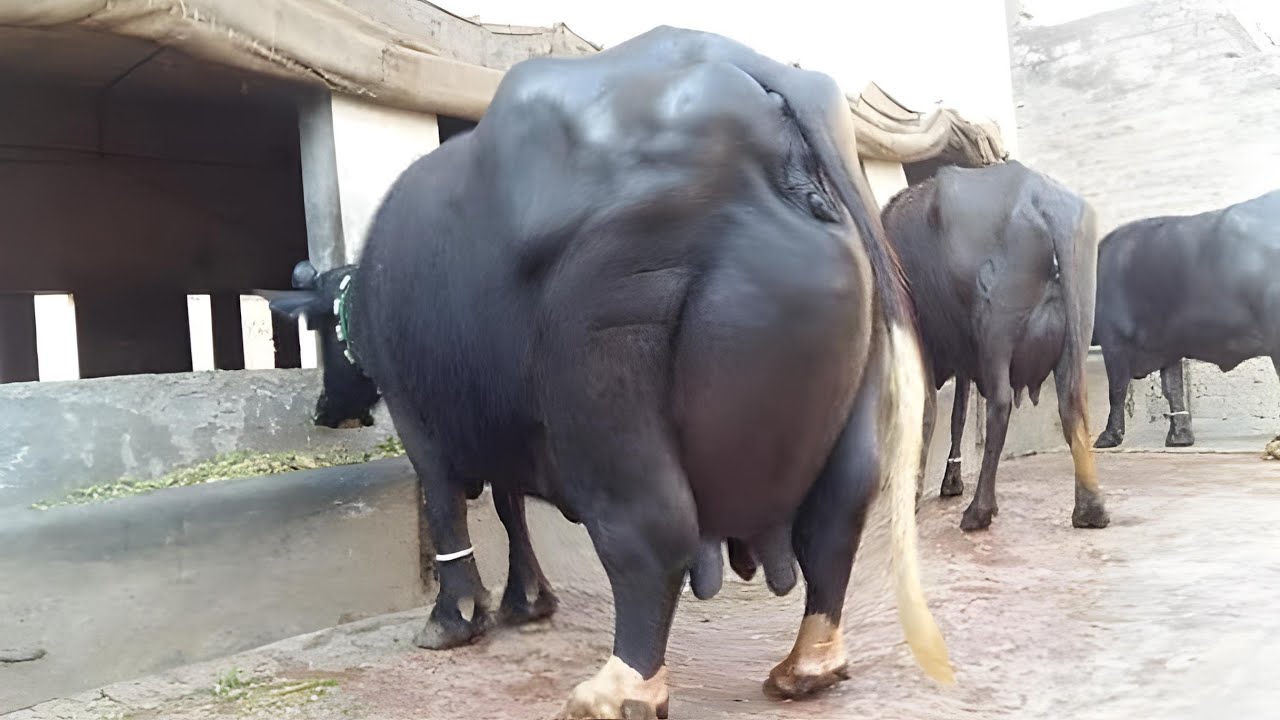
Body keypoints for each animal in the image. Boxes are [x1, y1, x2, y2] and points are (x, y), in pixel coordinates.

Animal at [262, 26, 954, 719]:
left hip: (604, 376)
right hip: (861, 381)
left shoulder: (419, 422)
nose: (325, 410)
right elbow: (512, 508)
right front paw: (528, 600)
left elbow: (446, 511)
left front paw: (452, 620)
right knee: (838, 516)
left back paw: (619, 689)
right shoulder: (508, 425)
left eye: (321, 336)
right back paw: (808, 665)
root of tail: (764, 86)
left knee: (652, 532)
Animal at [881, 160, 1110, 532]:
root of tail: (1039, 196)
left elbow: (928, 410)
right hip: (1077, 323)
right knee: (1074, 403)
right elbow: (957, 413)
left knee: (1000, 405)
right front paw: (950, 481)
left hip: (994, 328)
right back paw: (1090, 510)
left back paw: (979, 512)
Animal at [1092, 190, 1280, 450]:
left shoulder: (1113, 341)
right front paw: (1180, 436)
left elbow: (1117, 389)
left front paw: (1109, 436)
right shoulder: (1168, 346)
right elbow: (1173, 389)